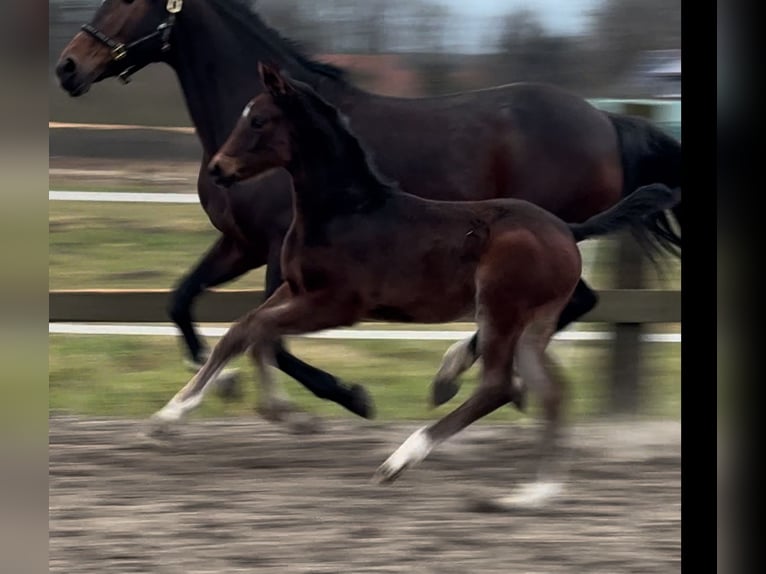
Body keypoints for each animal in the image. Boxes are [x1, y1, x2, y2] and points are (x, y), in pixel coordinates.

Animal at [55, 0, 684, 424]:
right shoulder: (242, 244)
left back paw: (454, 375)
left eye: (127, 0)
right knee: (572, 306)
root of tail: (606, 118)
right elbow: (183, 300)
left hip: (543, 239)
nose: (68, 67)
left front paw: (348, 396)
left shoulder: (282, 256)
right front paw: (218, 379)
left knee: (576, 302)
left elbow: (271, 336)